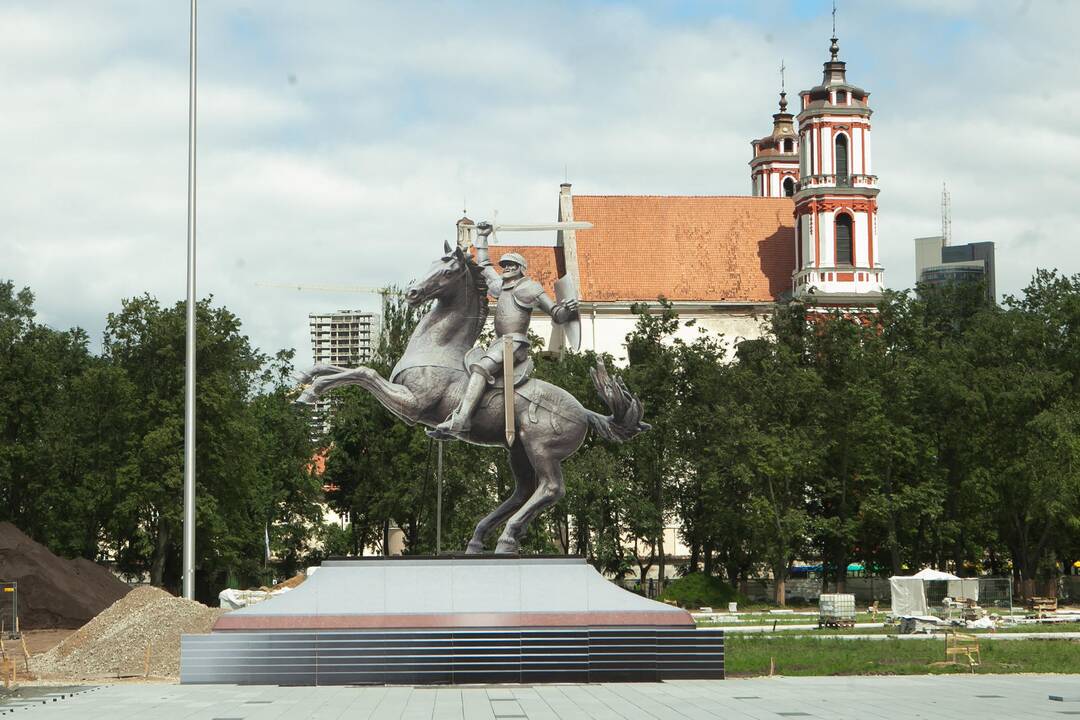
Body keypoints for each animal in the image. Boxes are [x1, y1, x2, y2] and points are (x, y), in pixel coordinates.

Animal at [298, 245, 648, 557]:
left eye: (448, 271)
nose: (413, 293)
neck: (438, 348)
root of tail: (584, 411)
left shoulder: (412, 405)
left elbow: (364, 372)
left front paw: (314, 390)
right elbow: (348, 369)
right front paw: (308, 378)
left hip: (541, 449)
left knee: (550, 489)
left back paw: (506, 538)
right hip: (517, 450)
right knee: (522, 491)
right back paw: (480, 539)